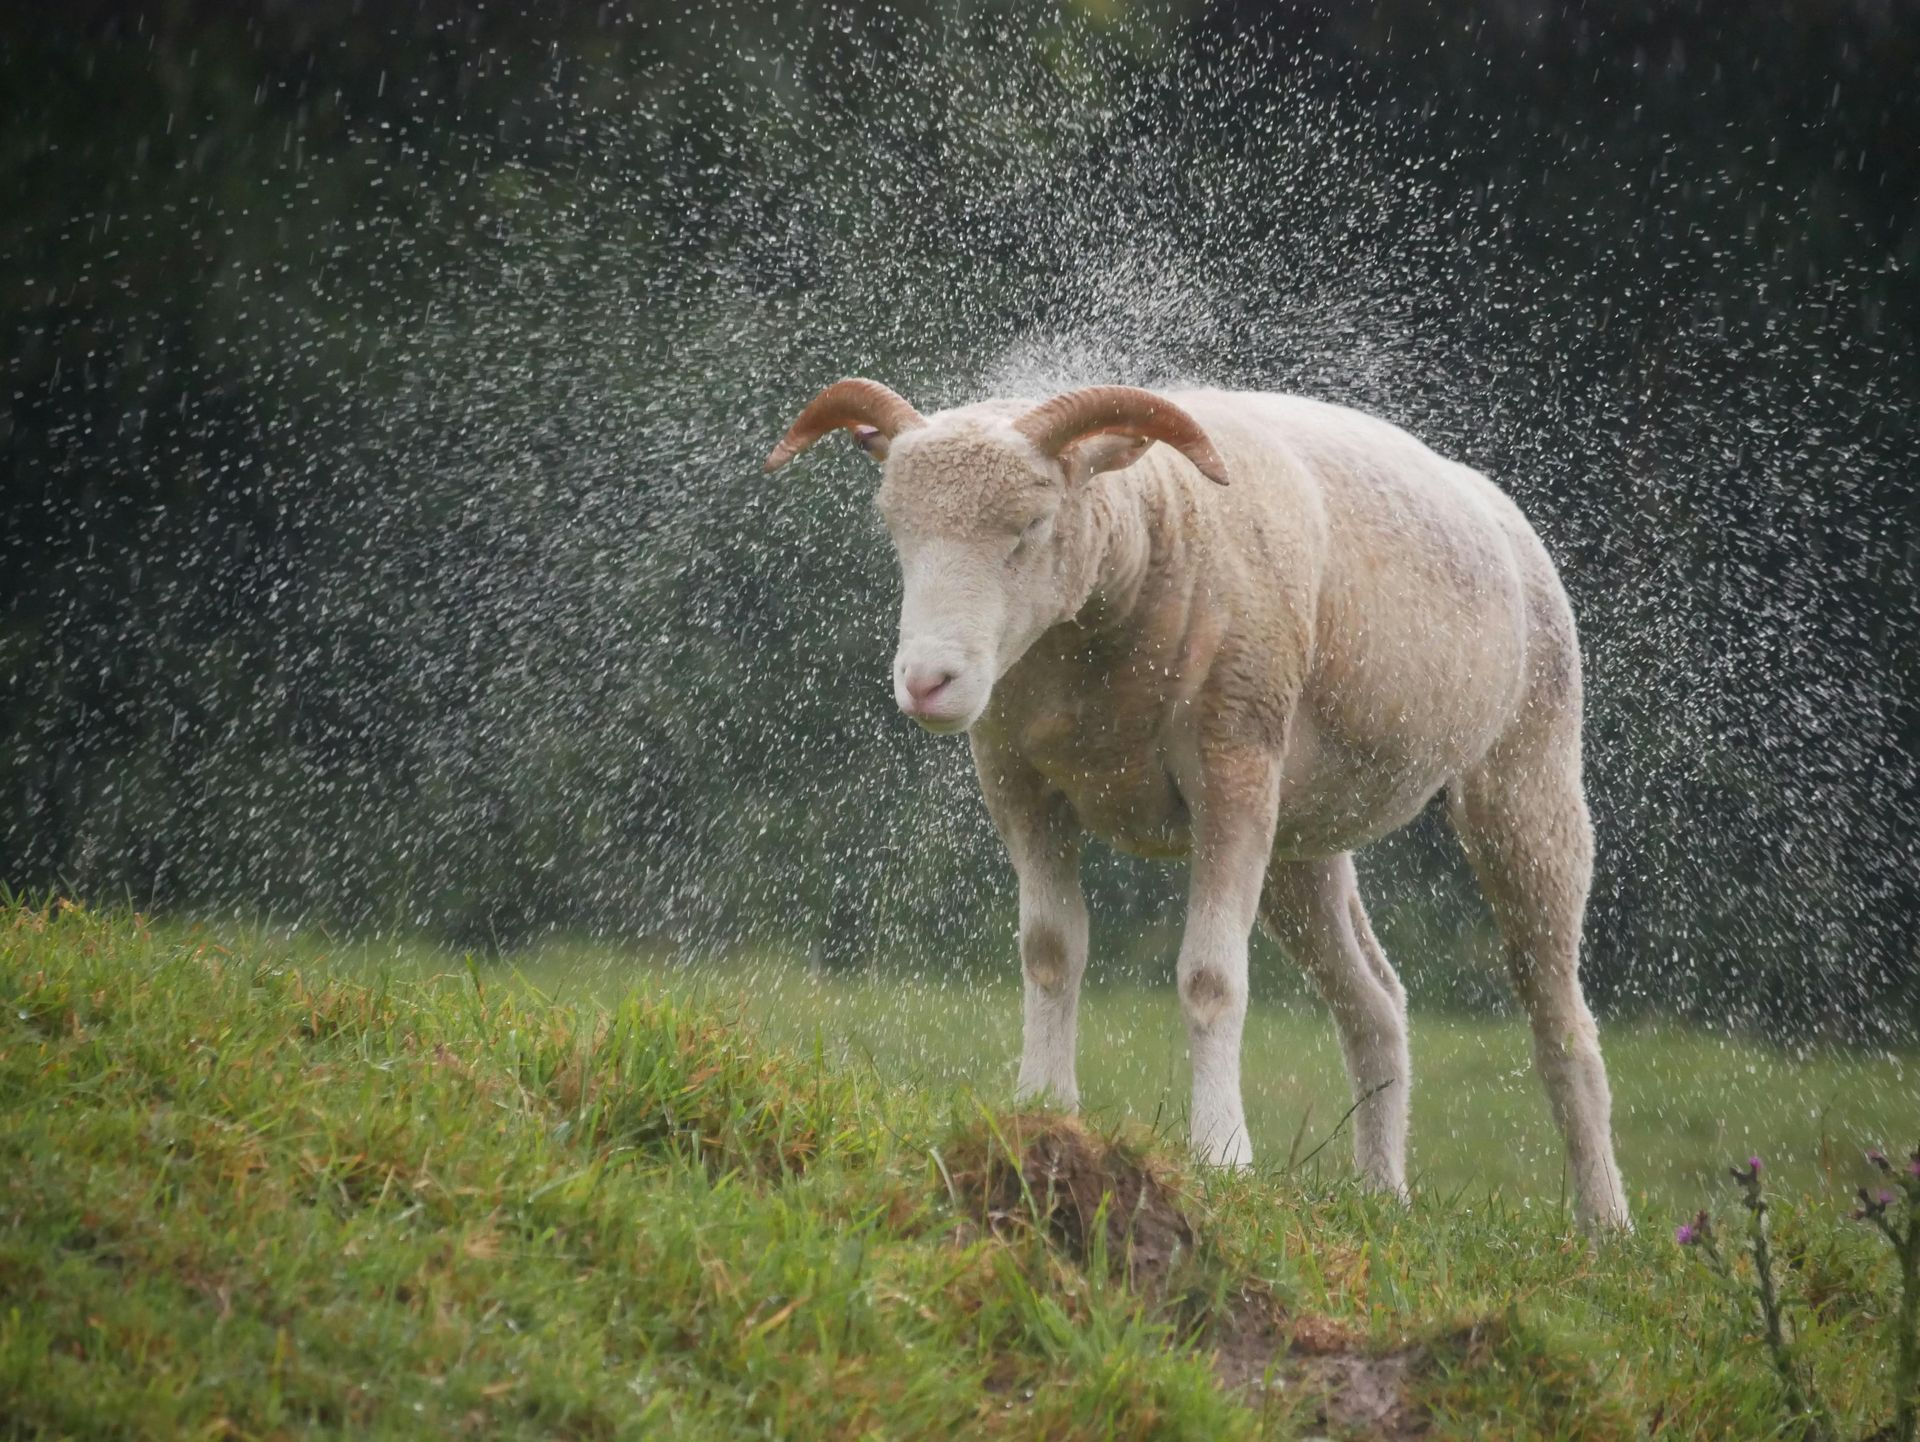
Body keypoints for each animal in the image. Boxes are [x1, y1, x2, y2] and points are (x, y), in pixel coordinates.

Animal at [764, 377, 1631, 1231]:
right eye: (895, 530)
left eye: (1033, 525)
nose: (926, 683)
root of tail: (1496, 507)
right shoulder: (1018, 783)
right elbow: (1050, 951)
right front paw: (1044, 1109)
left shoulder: (1232, 773)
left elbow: (1211, 979)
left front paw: (1221, 1154)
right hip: (1300, 841)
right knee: (1376, 1002)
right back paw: (1382, 1194)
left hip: (1526, 780)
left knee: (1563, 1025)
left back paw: (1604, 1223)